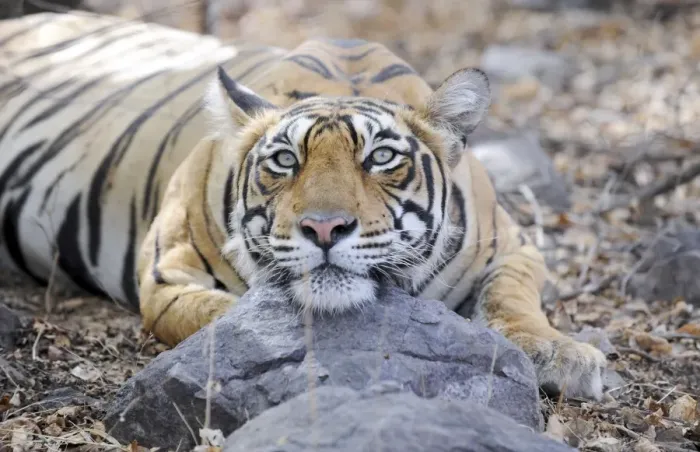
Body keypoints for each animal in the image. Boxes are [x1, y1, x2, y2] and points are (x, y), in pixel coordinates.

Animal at [0, 11, 607, 401]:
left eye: (380, 157)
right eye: (286, 160)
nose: (324, 228)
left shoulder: (515, 247)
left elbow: (512, 299)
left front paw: (566, 356)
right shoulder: (166, 276)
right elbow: (223, 320)